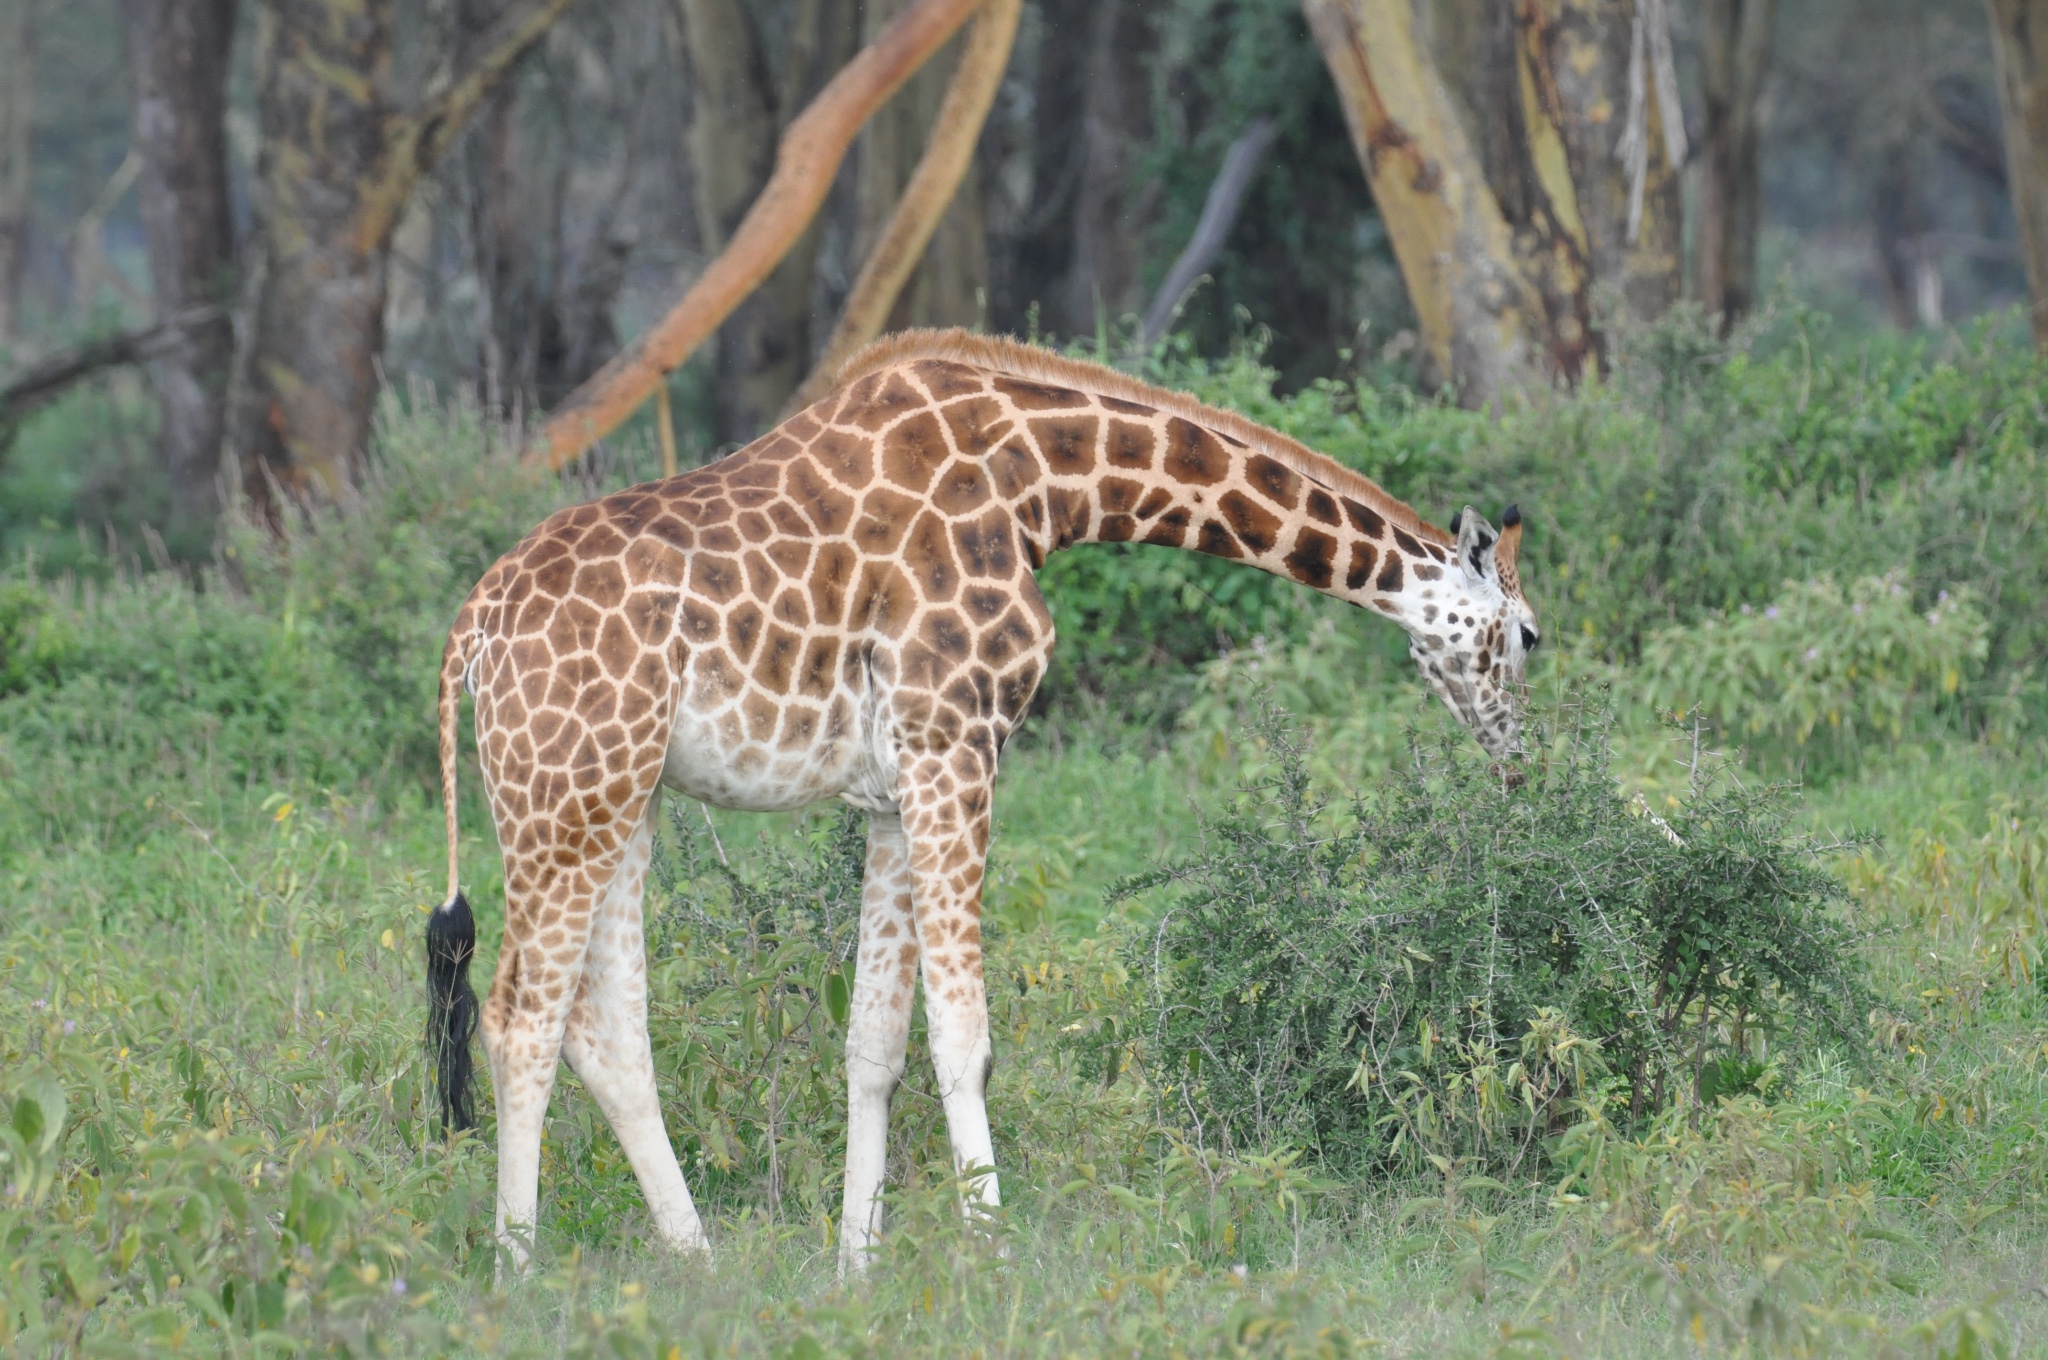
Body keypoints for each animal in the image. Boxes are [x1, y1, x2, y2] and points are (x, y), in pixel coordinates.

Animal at [419, 327, 1540, 1278]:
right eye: (1528, 635)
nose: (1519, 761)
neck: (1044, 481)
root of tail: (473, 627)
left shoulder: (891, 787)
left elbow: (873, 1043)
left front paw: (855, 1269)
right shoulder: (956, 741)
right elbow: (965, 1038)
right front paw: (992, 1253)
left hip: (624, 794)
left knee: (604, 1029)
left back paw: (698, 1262)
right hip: (568, 793)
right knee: (520, 1018)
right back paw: (516, 1271)